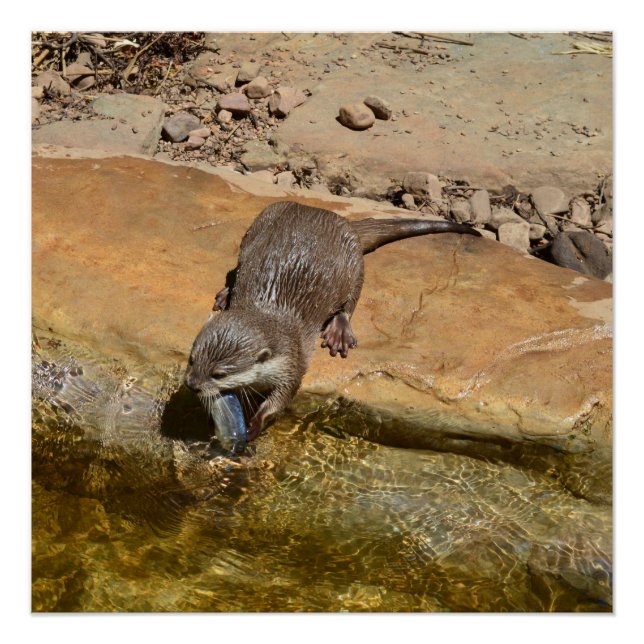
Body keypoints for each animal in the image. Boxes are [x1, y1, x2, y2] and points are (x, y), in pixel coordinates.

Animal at [185, 201, 480, 442]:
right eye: (191, 359)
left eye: (219, 374)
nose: (191, 384)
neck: (267, 312)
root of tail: (335, 217)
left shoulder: (293, 363)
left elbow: (281, 400)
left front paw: (254, 424)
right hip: (257, 226)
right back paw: (226, 294)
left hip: (354, 264)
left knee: (349, 302)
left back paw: (339, 332)